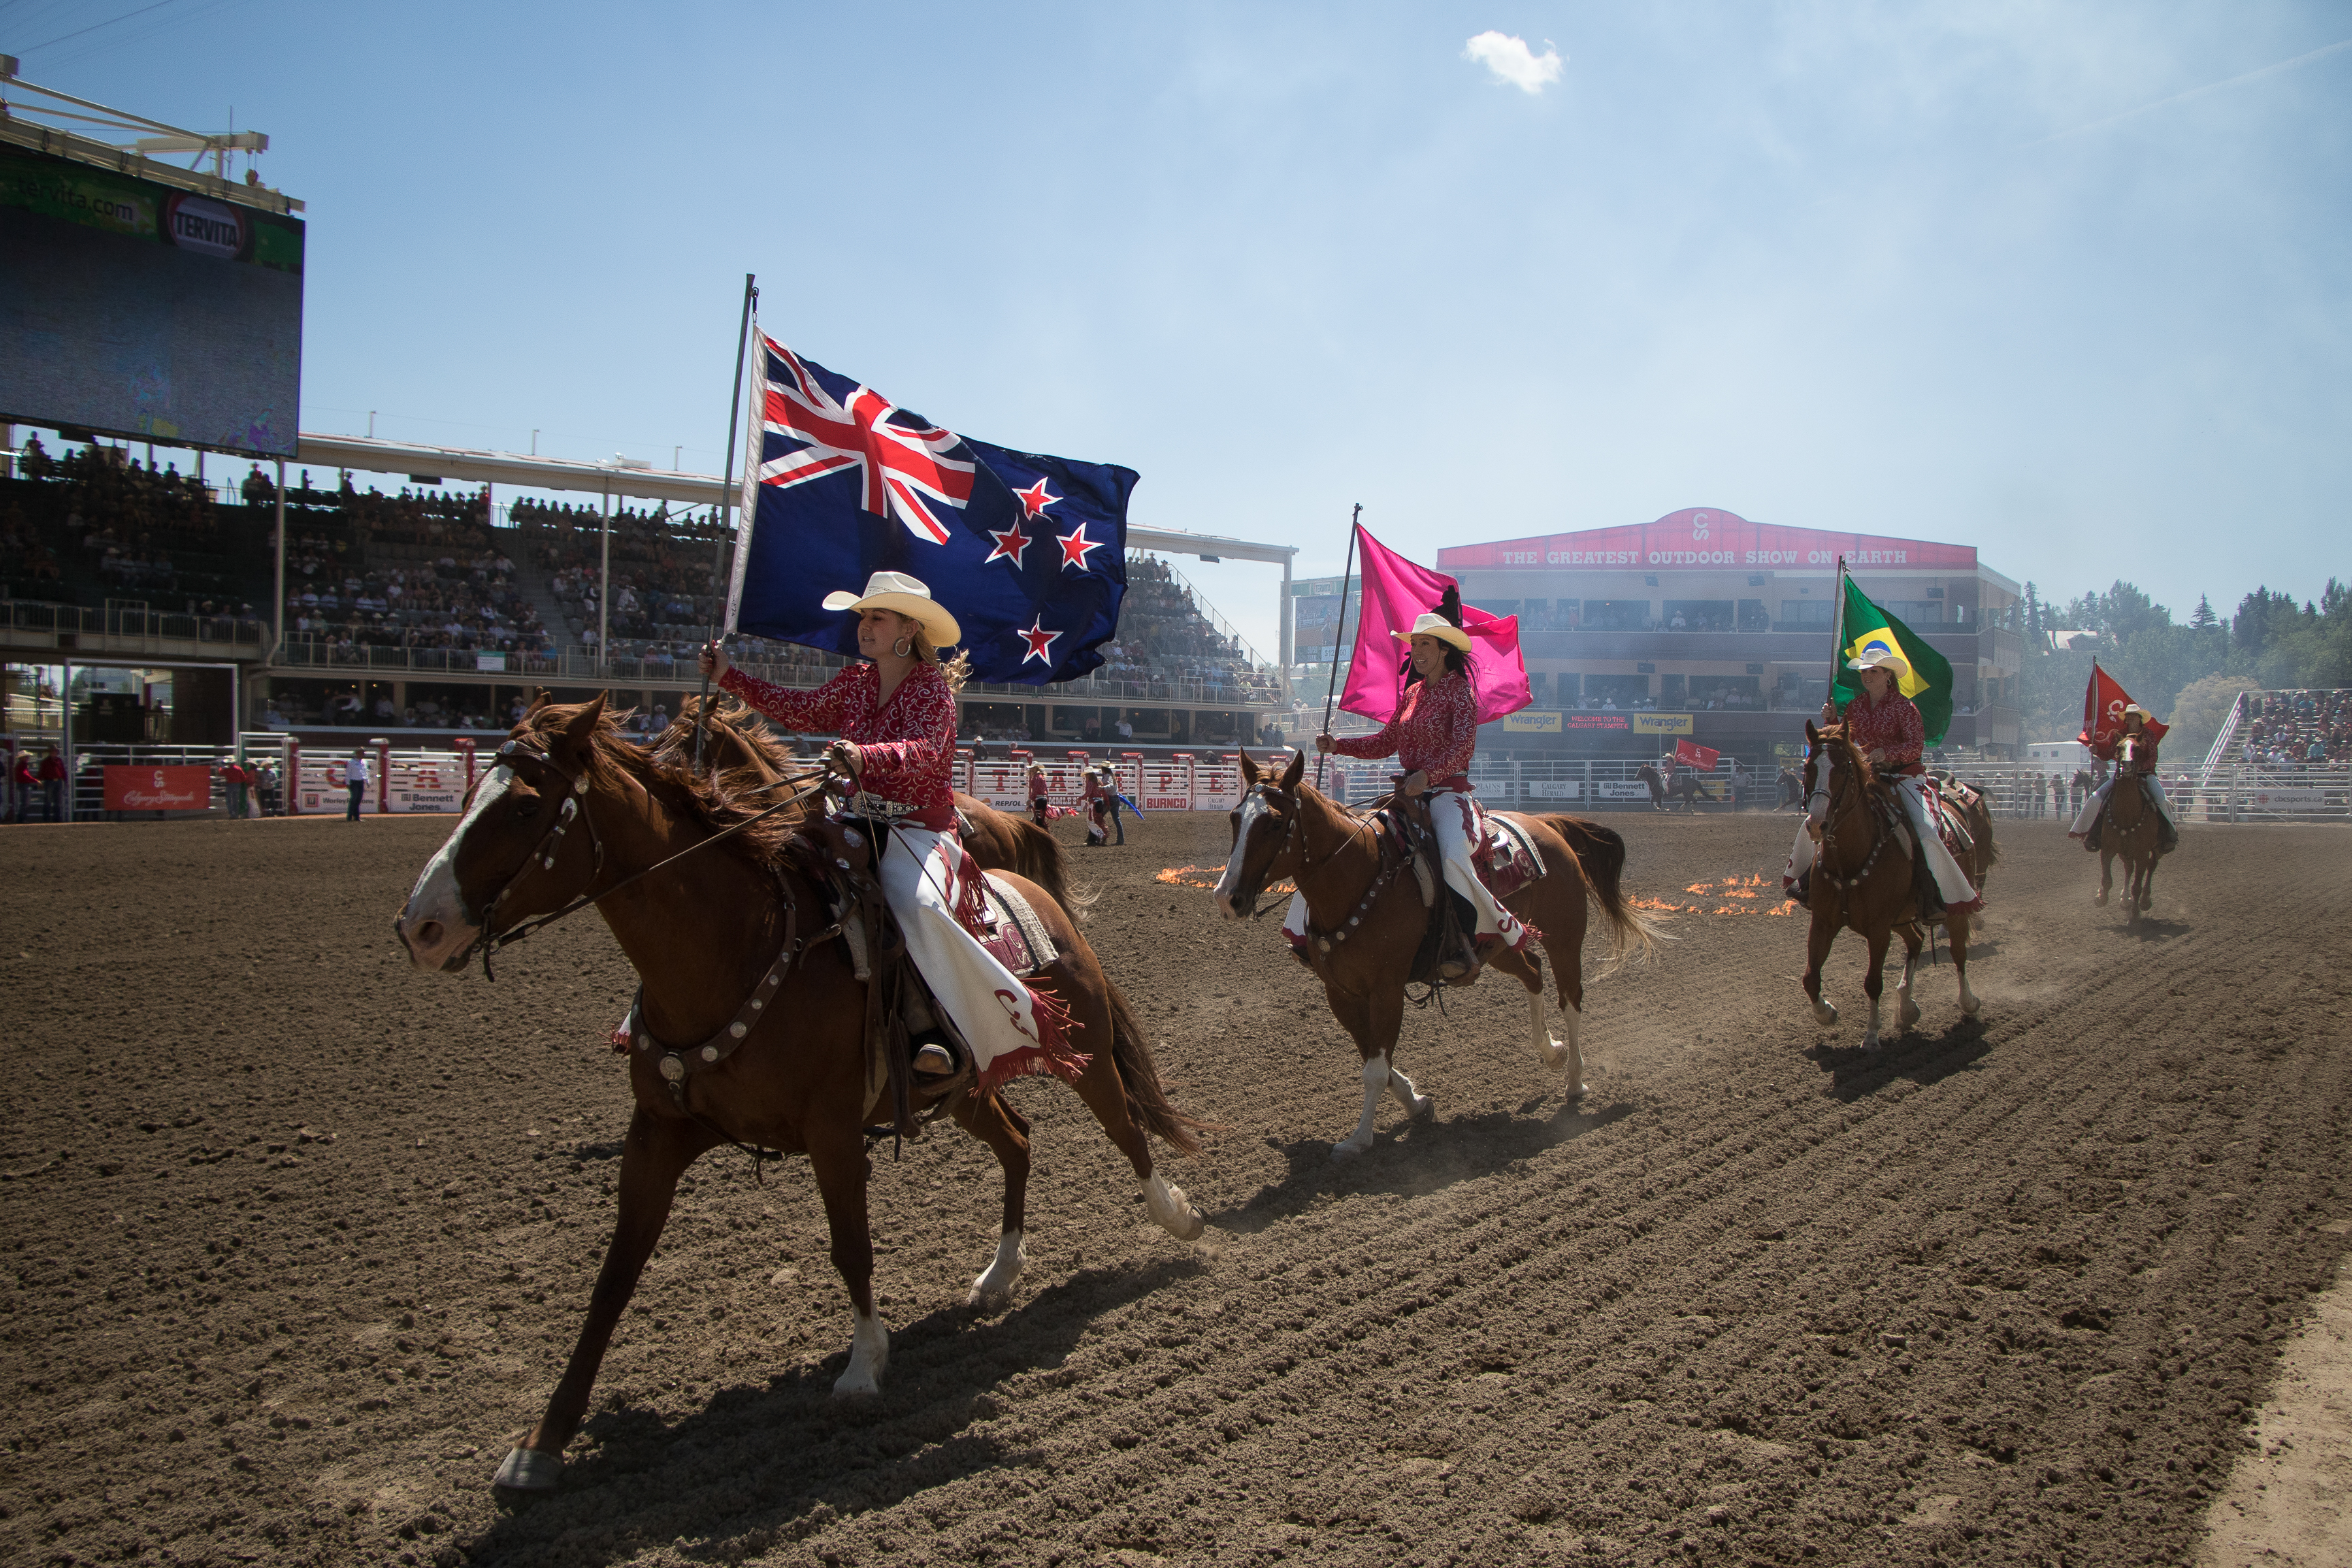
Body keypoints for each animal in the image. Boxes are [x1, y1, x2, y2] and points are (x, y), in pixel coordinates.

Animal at [395, 700, 1204, 1494]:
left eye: (527, 807)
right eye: (471, 796)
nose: (420, 927)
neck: (735, 945)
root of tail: (1029, 891)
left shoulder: (833, 1133)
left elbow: (851, 1247)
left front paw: (863, 1365)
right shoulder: (656, 1134)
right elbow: (613, 1280)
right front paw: (544, 1441)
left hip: (1084, 1048)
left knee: (1125, 1126)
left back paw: (1177, 1216)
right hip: (964, 1087)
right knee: (1019, 1141)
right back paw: (1000, 1274)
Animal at [1213, 747, 1656, 1166]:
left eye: (1275, 822)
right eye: (1235, 818)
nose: (1228, 898)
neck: (1360, 878)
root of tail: (1548, 824)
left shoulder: (1387, 990)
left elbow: (1375, 1070)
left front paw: (1359, 1140)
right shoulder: (1340, 993)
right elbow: (1374, 1058)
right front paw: (1417, 1104)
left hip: (1565, 938)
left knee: (1571, 998)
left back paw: (1575, 1081)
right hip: (1495, 944)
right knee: (1533, 972)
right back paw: (1552, 1052)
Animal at [1797, 719, 1984, 1043]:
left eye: (1844, 768)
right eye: (1809, 766)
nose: (1817, 824)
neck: (1850, 860)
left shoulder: (1878, 928)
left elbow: (1873, 981)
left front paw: (1872, 1034)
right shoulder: (1823, 922)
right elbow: (1810, 978)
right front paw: (1827, 1013)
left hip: (1954, 901)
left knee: (1958, 952)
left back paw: (1968, 1001)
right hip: (1901, 917)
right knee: (1917, 940)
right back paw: (1907, 1008)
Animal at [2097, 733, 2163, 921]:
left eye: (2137, 748)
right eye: (2119, 747)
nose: (2126, 765)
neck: (2127, 814)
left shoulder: (2142, 854)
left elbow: (2137, 886)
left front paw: (2134, 915)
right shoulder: (2108, 849)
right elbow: (2107, 879)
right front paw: (2101, 897)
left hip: (2156, 849)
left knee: (2151, 866)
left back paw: (2144, 901)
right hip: (2125, 851)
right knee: (2129, 868)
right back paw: (2124, 899)